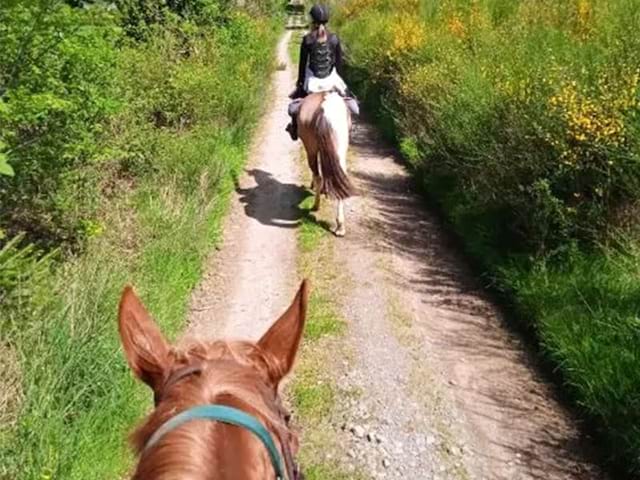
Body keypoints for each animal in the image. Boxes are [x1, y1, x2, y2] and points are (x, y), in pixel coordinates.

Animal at [298, 90, 356, 236]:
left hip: (311, 148)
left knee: (317, 175)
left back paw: (315, 206)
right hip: (340, 147)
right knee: (341, 179)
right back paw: (340, 226)